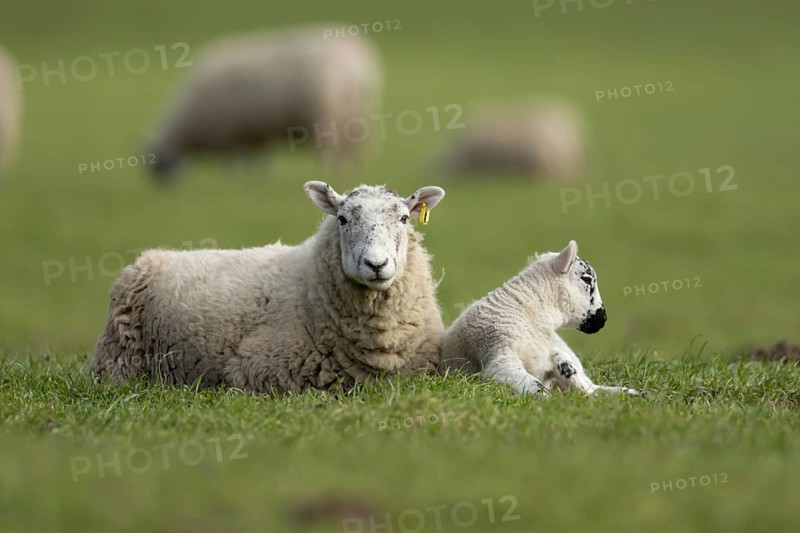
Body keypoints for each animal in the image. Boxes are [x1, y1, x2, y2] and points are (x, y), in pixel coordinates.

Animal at [91, 181, 446, 393]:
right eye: (343, 219)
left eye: (404, 219)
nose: (376, 264)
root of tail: (150, 259)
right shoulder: (256, 369)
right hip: (118, 364)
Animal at [147, 25, 381, 181]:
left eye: (158, 165)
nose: (166, 189)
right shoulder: (253, 132)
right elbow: (259, 159)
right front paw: (258, 178)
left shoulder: (226, 134)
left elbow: (231, 162)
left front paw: (232, 179)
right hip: (356, 115)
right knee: (353, 147)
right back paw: (348, 171)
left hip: (326, 114)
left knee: (329, 150)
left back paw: (327, 171)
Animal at [440, 240, 642, 396]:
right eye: (586, 279)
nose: (604, 318)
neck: (528, 312)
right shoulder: (499, 354)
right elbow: (536, 387)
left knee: (589, 387)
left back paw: (632, 394)